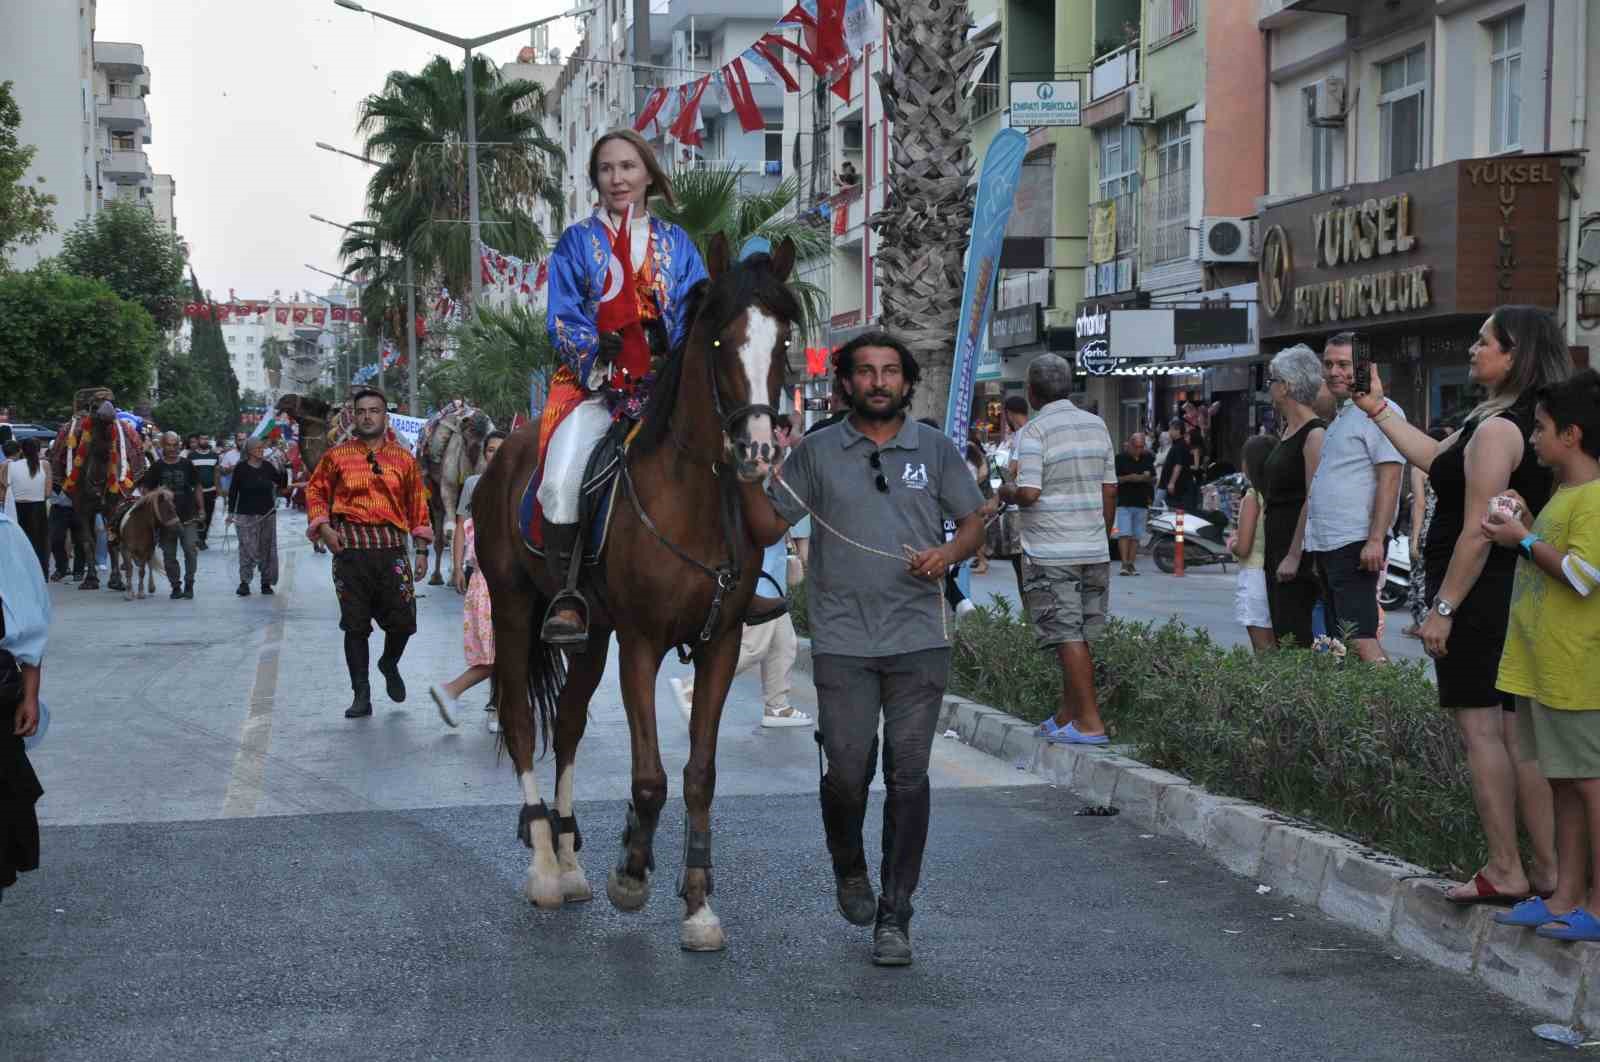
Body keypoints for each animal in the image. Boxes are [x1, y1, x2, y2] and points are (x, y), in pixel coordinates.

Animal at [51, 388, 146, 591]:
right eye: (94, 406)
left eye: (112, 401)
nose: (109, 412)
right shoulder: (80, 505)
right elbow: (87, 541)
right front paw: (90, 580)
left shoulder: (113, 504)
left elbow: (112, 541)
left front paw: (116, 581)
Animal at [473, 236, 800, 946]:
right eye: (719, 339)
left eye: (783, 340)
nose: (759, 449)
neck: (690, 496)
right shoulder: (642, 644)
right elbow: (650, 778)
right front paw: (631, 875)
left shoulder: (719, 644)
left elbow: (700, 775)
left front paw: (698, 904)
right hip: (513, 608)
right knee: (522, 722)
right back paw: (545, 866)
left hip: (591, 632)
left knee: (568, 723)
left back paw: (569, 859)